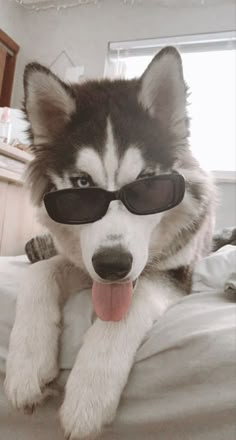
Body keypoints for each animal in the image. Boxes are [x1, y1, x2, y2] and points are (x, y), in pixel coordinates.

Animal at [4, 46, 215, 438]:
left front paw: (88, 395)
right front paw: (27, 365)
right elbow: (40, 272)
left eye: (147, 186)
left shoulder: (177, 270)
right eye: (82, 185)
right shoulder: (84, 260)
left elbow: (134, 300)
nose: (113, 266)